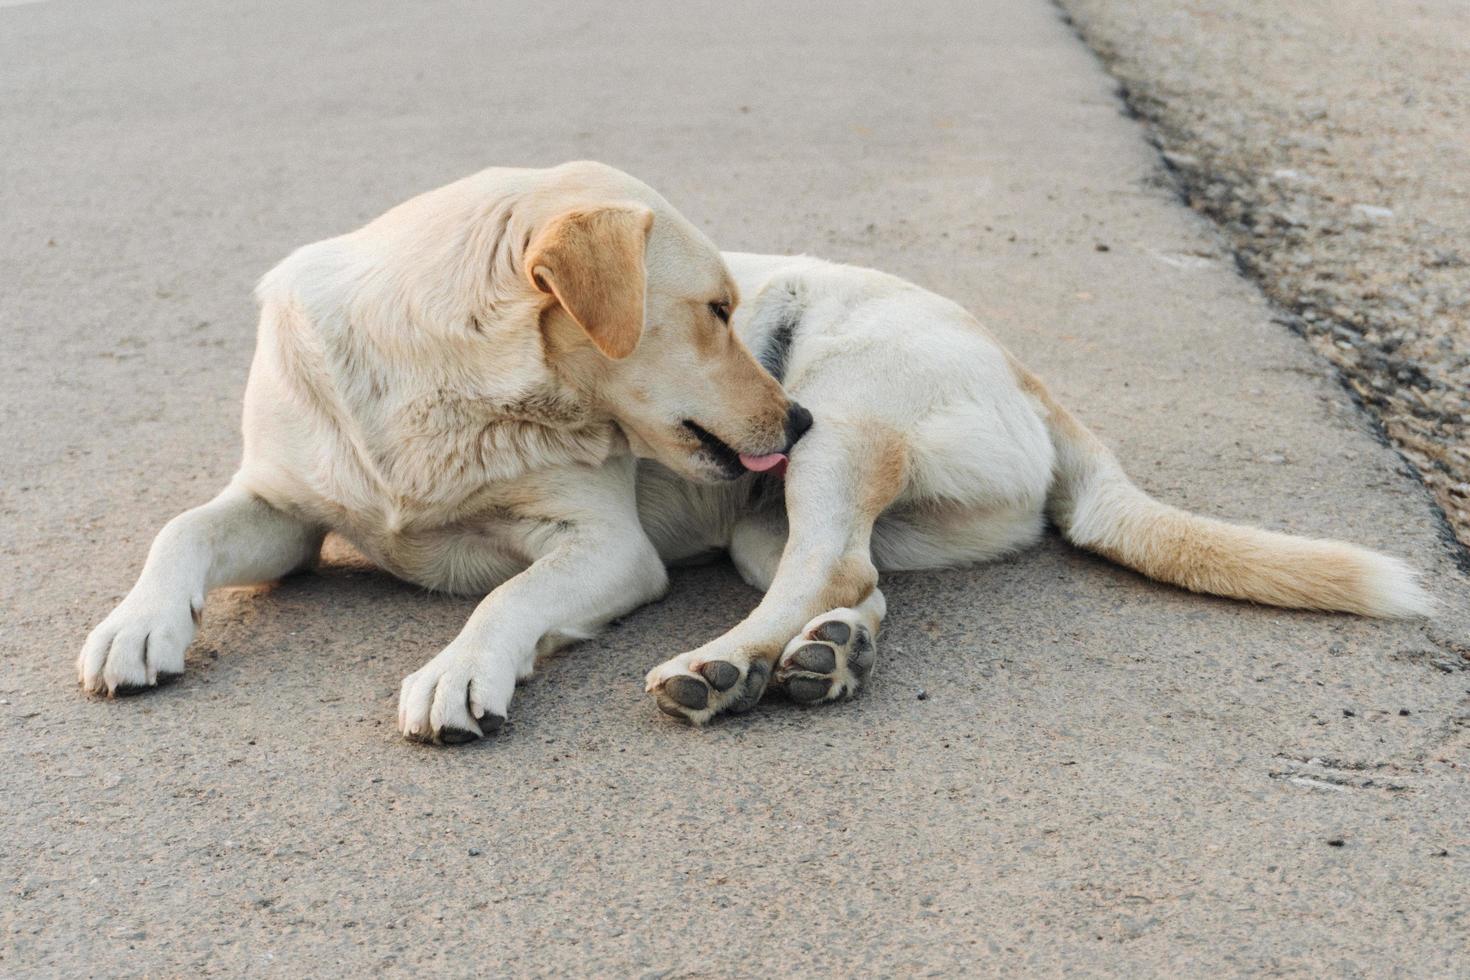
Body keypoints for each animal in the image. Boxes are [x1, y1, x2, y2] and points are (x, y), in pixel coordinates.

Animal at [74, 163, 1428, 743]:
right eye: (715, 311)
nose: (793, 416)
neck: (439, 377)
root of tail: (1026, 369)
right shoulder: (281, 507)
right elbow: (181, 527)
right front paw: (136, 625)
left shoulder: (605, 549)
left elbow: (505, 597)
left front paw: (462, 669)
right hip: (762, 515)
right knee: (852, 580)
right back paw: (817, 662)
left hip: (843, 423)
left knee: (828, 566)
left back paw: (719, 669)